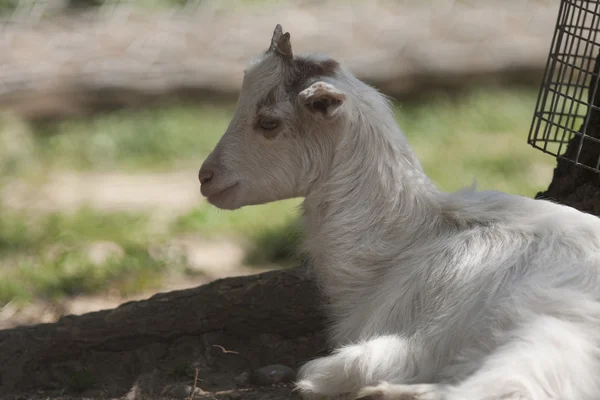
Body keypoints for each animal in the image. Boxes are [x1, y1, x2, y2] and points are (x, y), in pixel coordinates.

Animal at [198, 25, 600, 400]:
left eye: (268, 122)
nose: (205, 177)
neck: (401, 242)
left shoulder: (417, 336)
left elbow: (341, 363)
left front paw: (326, 376)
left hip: (544, 335)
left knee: (507, 386)